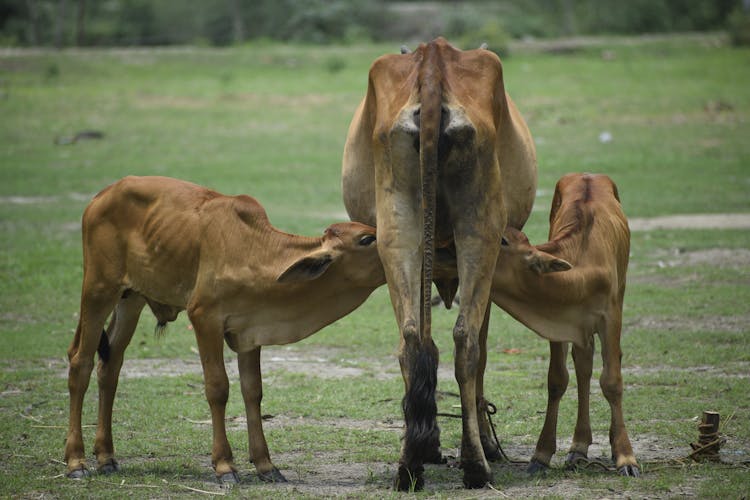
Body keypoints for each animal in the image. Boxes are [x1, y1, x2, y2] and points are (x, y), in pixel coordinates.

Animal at [63, 177, 388, 484]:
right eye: (367, 238)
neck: (255, 252)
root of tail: (103, 194)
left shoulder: (250, 332)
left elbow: (253, 391)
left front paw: (265, 465)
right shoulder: (204, 318)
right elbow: (218, 388)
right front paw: (224, 465)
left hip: (131, 300)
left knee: (110, 367)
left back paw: (106, 456)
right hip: (98, 290)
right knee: (80, 362)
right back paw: (76, 461)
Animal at [344, 38, 536, 488]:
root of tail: (433, 58)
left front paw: (427, 443)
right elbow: (481, 346)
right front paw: (484, 442)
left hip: (397, 229)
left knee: (412, 339)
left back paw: (410, 463)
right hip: (482, 231)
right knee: (467, 342)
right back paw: (477, 463)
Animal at [434, 172, 640, 476]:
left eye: (503, 241)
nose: (451, 244)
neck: (580, 272)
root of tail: (588, 174)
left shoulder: (610, 318)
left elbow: (612, 382)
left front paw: (625, 456)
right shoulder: (559, 323)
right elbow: (557, 380)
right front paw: (541, 454)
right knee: (583, 365)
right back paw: (578, 447)